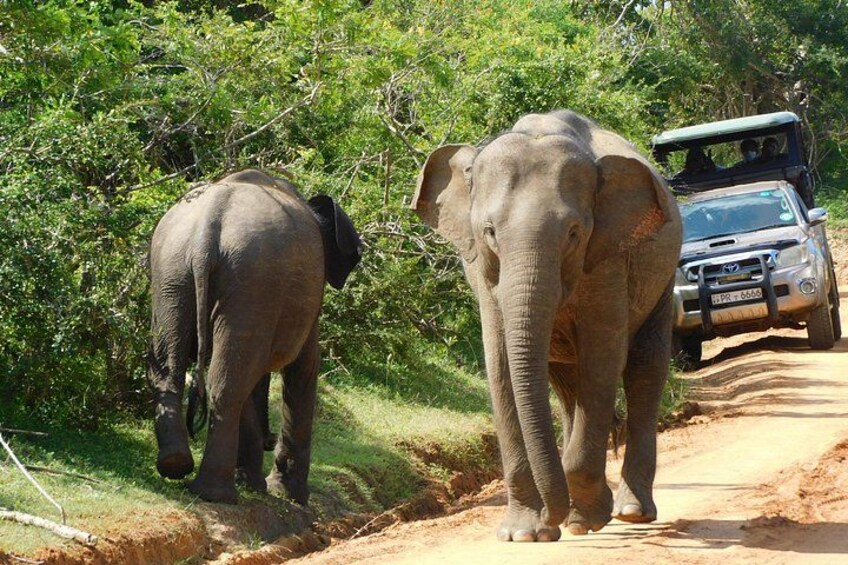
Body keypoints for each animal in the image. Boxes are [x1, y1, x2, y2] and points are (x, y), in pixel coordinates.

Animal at [147, 169, 362, 504]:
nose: (268, 438)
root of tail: (207, 227)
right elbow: (303, 367)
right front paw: (290, 495)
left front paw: (254, 484)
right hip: (252, 278)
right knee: (230, 383)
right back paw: (217, 494)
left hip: (172, 271)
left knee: (172, 366)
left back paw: (177, 466)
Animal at [412, 110, 682, 542]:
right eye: (489, 232)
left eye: (573, 233)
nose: (548, 524)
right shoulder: (483, 275)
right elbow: (500, 366)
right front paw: (524, 534)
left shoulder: (607, 259)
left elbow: (603, 358)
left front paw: (587, 518)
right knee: (567, 385)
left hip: (662, 274)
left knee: (644, 366)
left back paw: (628, 512)